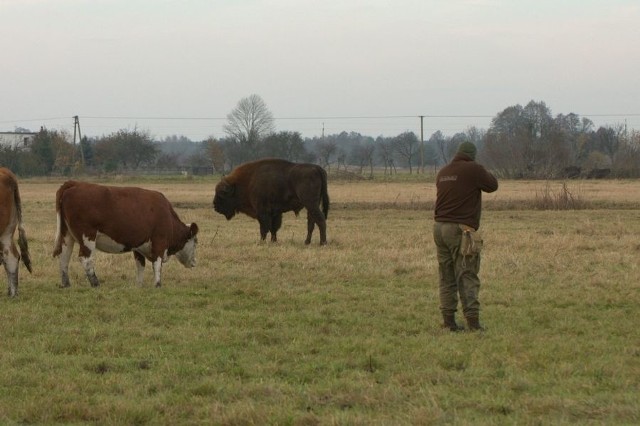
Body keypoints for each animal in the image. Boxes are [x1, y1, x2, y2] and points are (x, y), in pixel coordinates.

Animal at [52, 181, 198, 288]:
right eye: (196, 242)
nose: (194, 262)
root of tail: (76, 183)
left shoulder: (139, 246)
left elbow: (140, 265)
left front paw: (139, 285)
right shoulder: (159, 242)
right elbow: (157, 264)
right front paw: (157, 284)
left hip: (67, 235)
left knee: (64, 256)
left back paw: (66, 284)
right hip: (87, 236)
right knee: (85, 258)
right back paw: (95, 283)